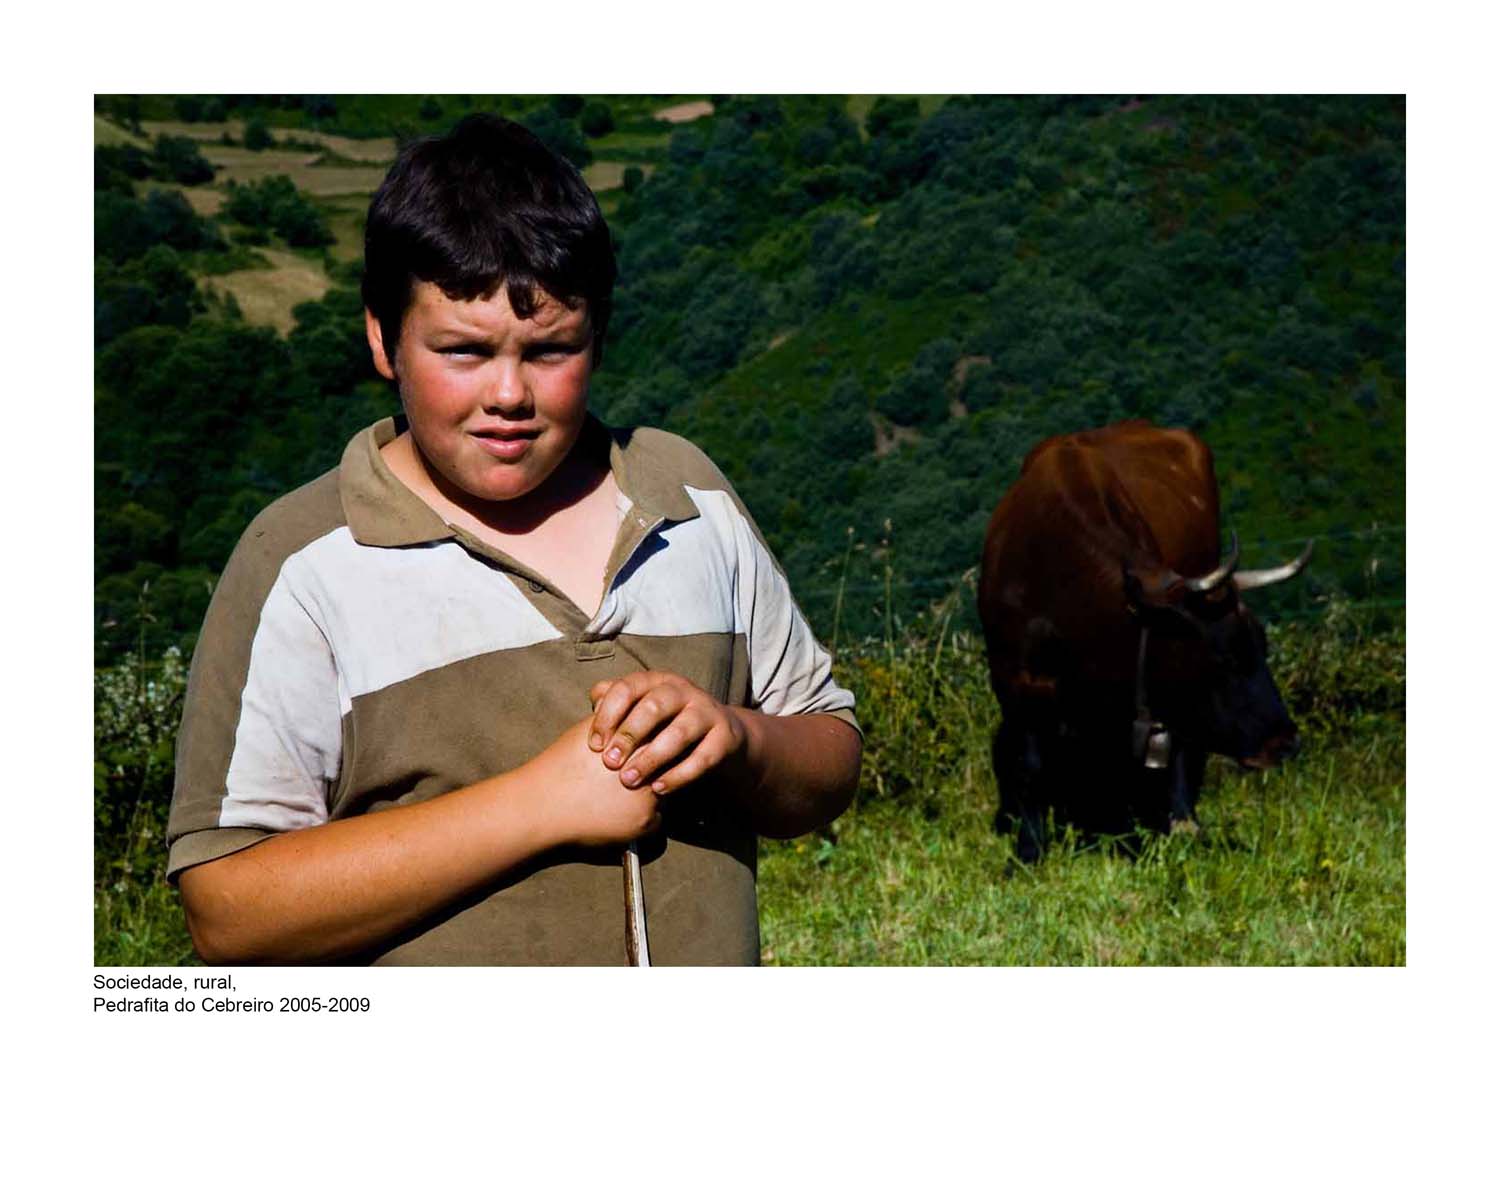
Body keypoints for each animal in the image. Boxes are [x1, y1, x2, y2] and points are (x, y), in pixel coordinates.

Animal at [977, 420, 1311, 862]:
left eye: (1263, 650)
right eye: (1223, 659)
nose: (1286, 741)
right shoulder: (1013, 677)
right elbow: (1029, 765)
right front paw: (1028, 853)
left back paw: (1182, 819)